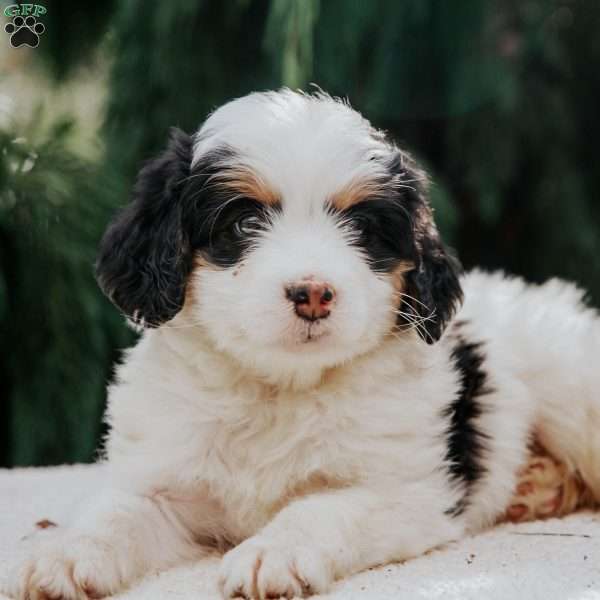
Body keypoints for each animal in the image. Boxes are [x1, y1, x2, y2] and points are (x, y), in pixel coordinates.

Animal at [8, 90, 600, 600]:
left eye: (362, 231)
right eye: (244, 222)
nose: (313, 293)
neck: (278, 388)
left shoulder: (407, 491)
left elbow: (320, 509)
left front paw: (272, 554)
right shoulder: (165, 480)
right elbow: (116, 513)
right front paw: (61, 555)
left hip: (572, 393)